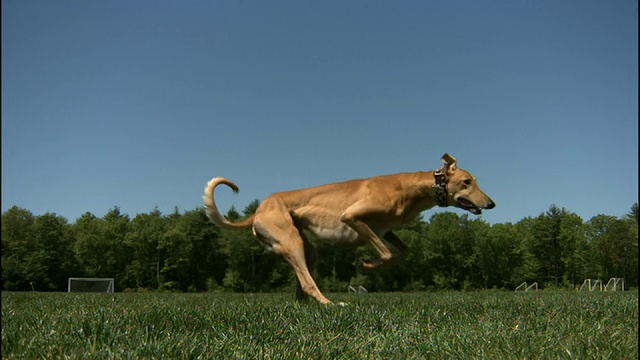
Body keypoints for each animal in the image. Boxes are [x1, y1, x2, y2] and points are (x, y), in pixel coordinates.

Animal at [205, 153, 496, 304]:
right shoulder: (352, 218)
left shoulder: (386, 231)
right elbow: (387, 254)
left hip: (306, 249)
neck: (412, 188)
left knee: (302, 287)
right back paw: (330, 304)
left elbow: (402, 251)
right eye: (467, 181)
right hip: (291, 242)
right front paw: (364, 263)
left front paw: (367, 262)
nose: (492, 204)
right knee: (308, 284)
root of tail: (258, 211)